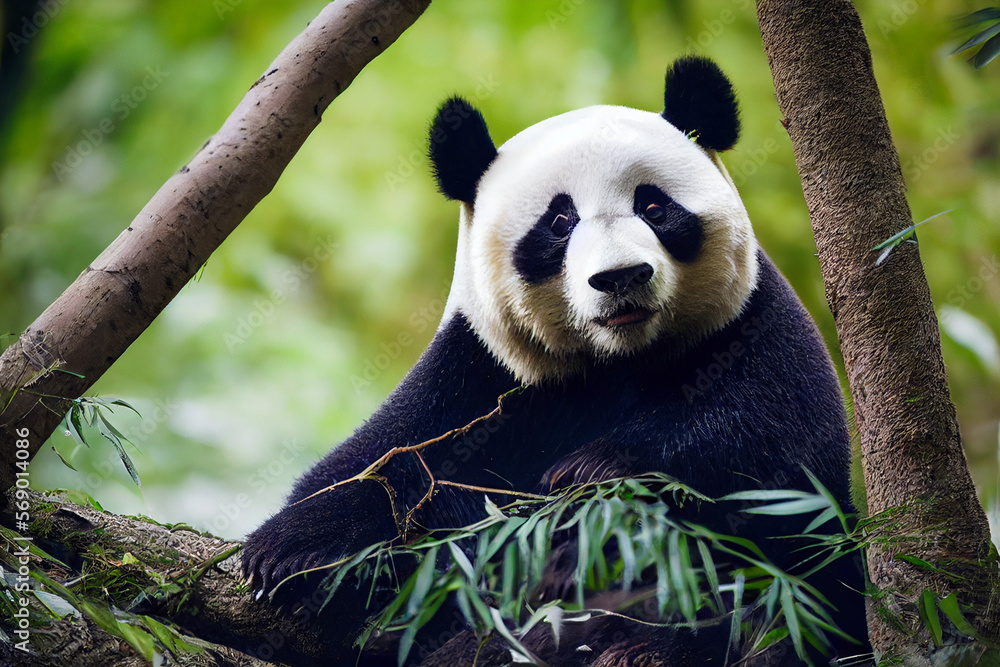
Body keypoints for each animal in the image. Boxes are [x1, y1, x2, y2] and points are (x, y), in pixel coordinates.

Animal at [242, 56, 867, 666]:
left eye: (654, 206)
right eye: (560, 223)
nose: (621, 277)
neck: (618, 359)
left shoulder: (749, 327)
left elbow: (770, 448)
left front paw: (592, 471)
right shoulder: (485, 377)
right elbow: (392, 463)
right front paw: (292, 553)